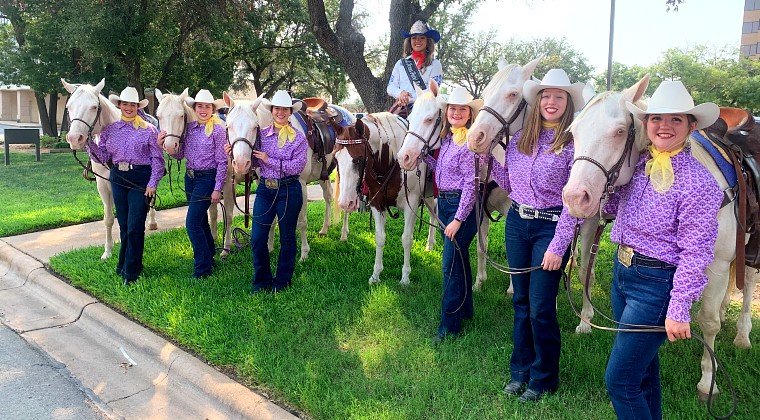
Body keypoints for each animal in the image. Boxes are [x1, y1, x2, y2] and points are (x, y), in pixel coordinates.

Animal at [334, 111, 437, 285]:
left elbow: (406, 239)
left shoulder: (411, 204)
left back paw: (430, 244)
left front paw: (405, 277)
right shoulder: (377, 203)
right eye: (335, 158)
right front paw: (376, 275)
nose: (345, 203)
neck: (392, 163)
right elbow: (380, 238)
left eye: (359, 159)